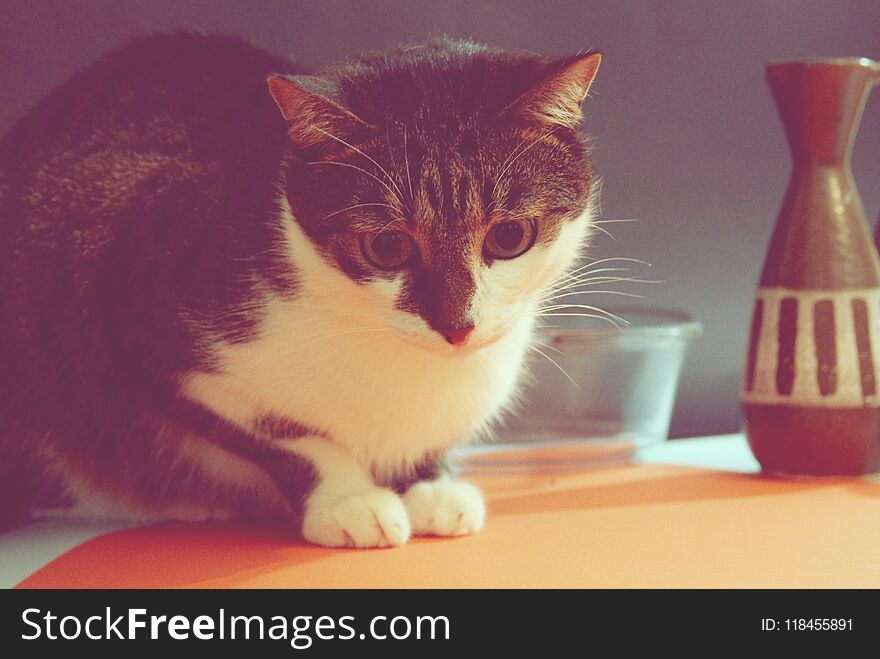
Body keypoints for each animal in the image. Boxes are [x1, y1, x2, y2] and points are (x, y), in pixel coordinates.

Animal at [0, 32, 600, 548]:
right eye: (388, 246)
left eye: (509, 236)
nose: (456, 327)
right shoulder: (144, 326)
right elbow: (287, 438)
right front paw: (350, 500)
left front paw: (430, 484)